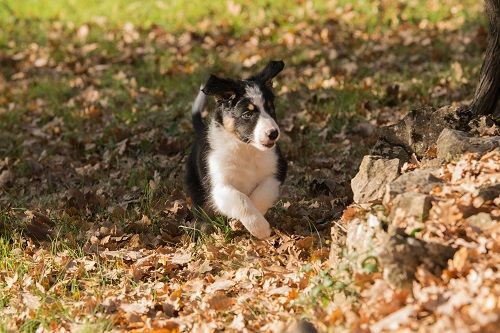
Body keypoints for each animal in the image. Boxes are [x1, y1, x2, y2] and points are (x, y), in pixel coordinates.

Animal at [186, 60, 288, 239]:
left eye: (271, 109)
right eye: (247, 114)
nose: (273, 133)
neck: (247, 149)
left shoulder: (278, 169)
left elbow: (261, 194)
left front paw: (252, 224)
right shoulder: (219, 187)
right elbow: (241, 199)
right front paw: (260, 227)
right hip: (196, 184)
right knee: (201, 211)